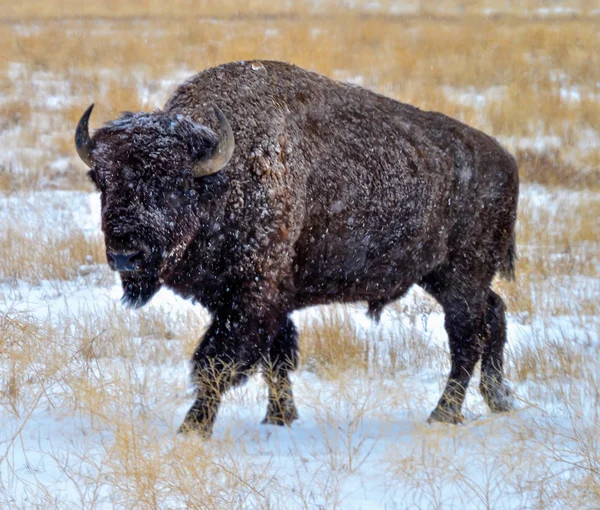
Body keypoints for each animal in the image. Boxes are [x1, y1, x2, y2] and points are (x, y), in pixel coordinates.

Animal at [74, 58, 516, 434]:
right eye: (103, 181)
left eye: (176, 184)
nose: (125, 255)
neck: (225, 177)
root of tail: (506, 160)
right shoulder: (264, 299)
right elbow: (276, 357)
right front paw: (280, 417)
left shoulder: (250, 298)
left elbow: (217, 362)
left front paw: (193, 429)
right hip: (442, 276)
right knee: (493, 313)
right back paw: (499, 400)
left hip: (462, 278)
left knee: (466, 339)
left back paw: (444, 414)